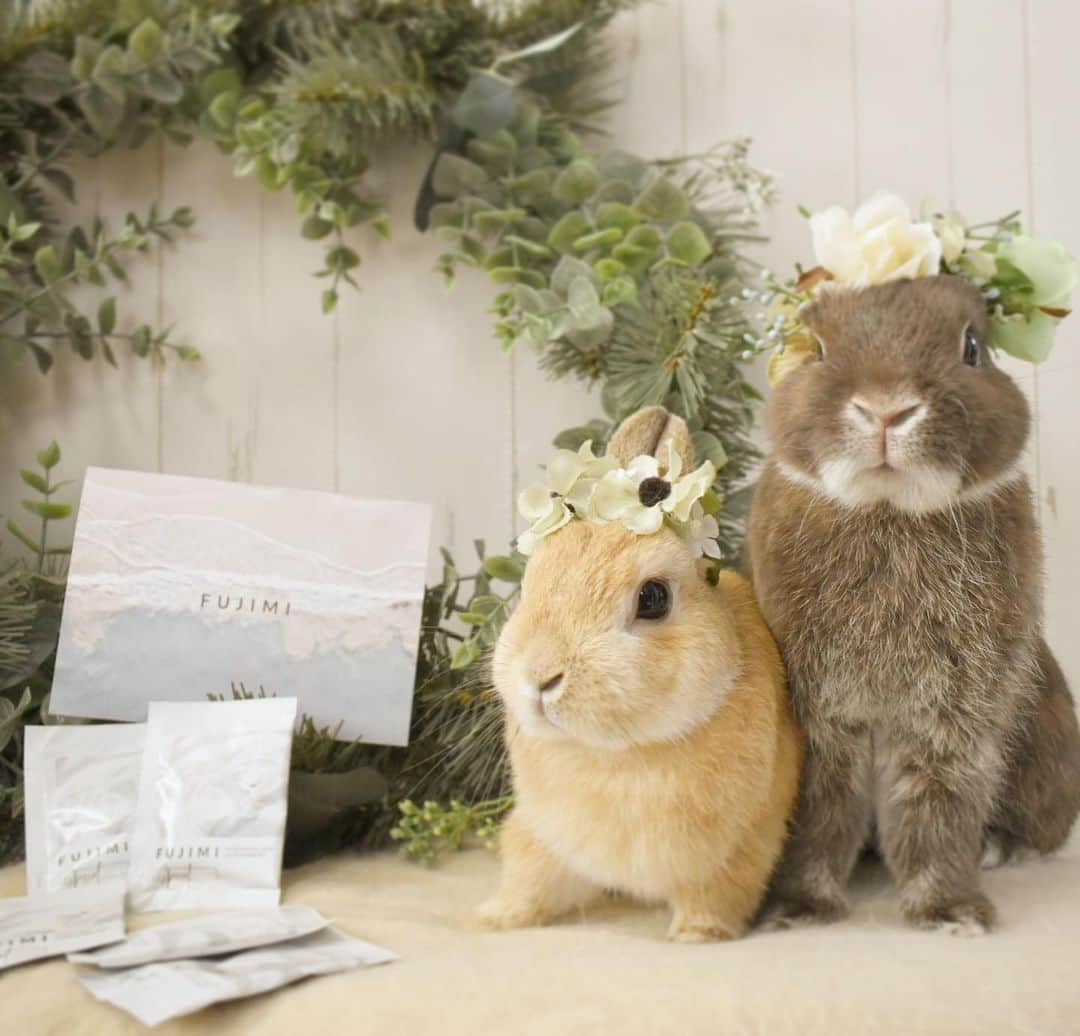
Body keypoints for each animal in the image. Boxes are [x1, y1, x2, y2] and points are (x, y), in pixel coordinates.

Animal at [477, 406, 802, 942]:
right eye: (531, 579)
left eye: (653, 598)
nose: (540, 676)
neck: (621, 754)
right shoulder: (543, 839)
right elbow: (528, 879)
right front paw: (494, 919)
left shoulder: (735, 855)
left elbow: (715, 899)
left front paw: (694, 936)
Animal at [747, 275, 1080, 934]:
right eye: (816, 349)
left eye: (972, 347)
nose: (885, 408)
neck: (888, 510)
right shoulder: (818, 723)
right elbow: (817, 816)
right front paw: (797, 910)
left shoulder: (954, 716)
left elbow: (938, 810)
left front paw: (952, 913)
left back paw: (1000, 847)